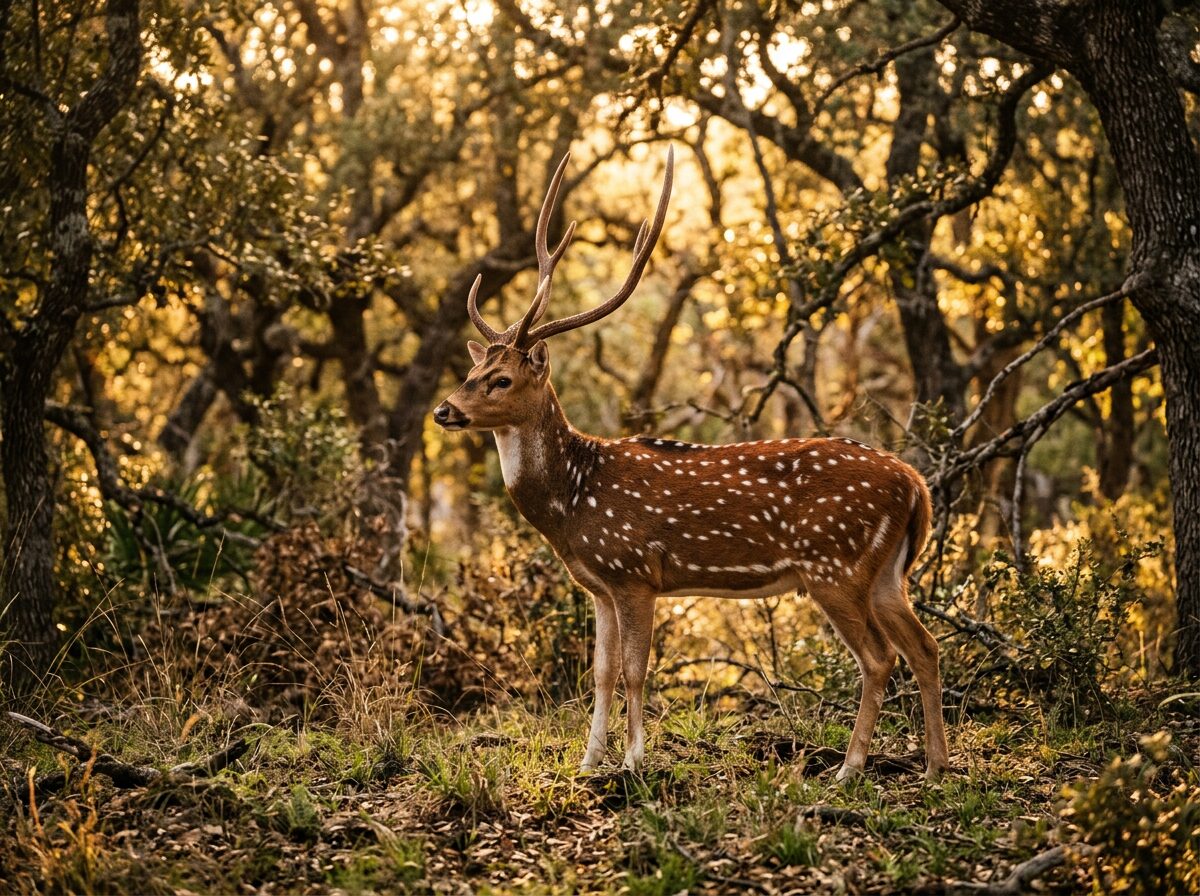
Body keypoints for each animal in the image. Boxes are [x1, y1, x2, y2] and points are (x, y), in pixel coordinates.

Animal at [433, 147, 950, 781]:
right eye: (470, 372)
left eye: (501, 379)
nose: (445, 410)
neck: (573, 504)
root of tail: (917, 486)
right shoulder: (599, 586)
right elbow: (600, 673)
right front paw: (589, 761)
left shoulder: (635, 571)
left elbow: (635, 672)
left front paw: (633, 761)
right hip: (886, 573)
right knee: (925, 646)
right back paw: (936, 766)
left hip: (836, 565)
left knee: (879, 658)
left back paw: (850, 768)